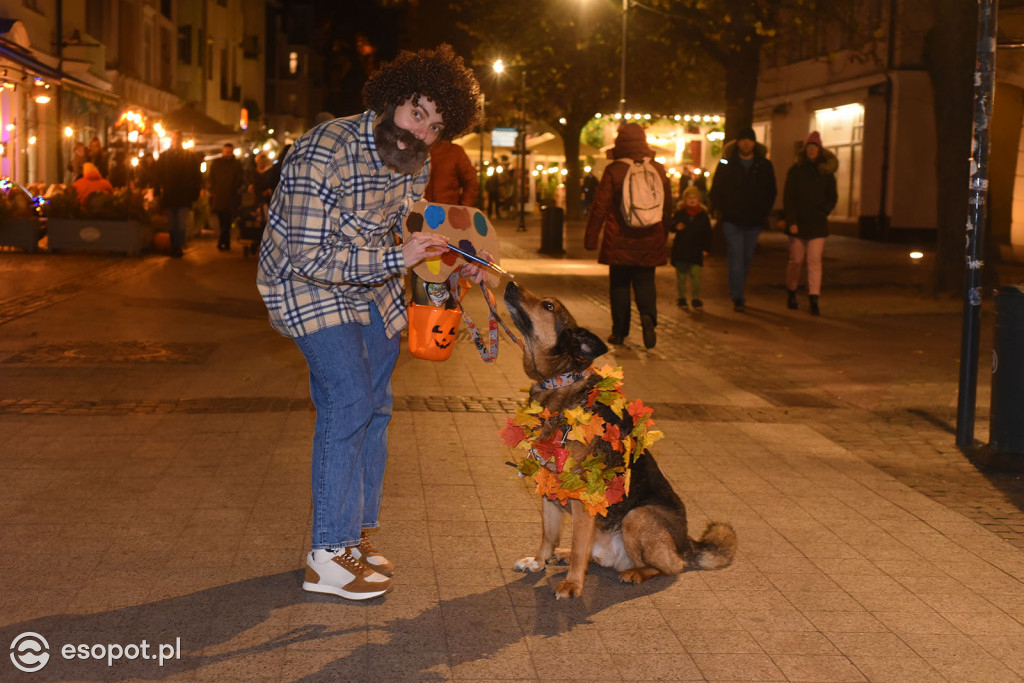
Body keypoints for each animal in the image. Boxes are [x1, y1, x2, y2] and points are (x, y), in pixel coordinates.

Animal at [501, 282, 737, 598]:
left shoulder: (584, 500)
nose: (510, 283)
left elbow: (579, 548)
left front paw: (573, 585)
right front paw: (539, 561)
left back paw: (634, 572)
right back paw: (563, 554)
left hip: (637, 516)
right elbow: (547, 535)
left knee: (670, 567)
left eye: (548, 306)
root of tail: (687, 545)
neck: (560, 384)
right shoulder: (548, 490)